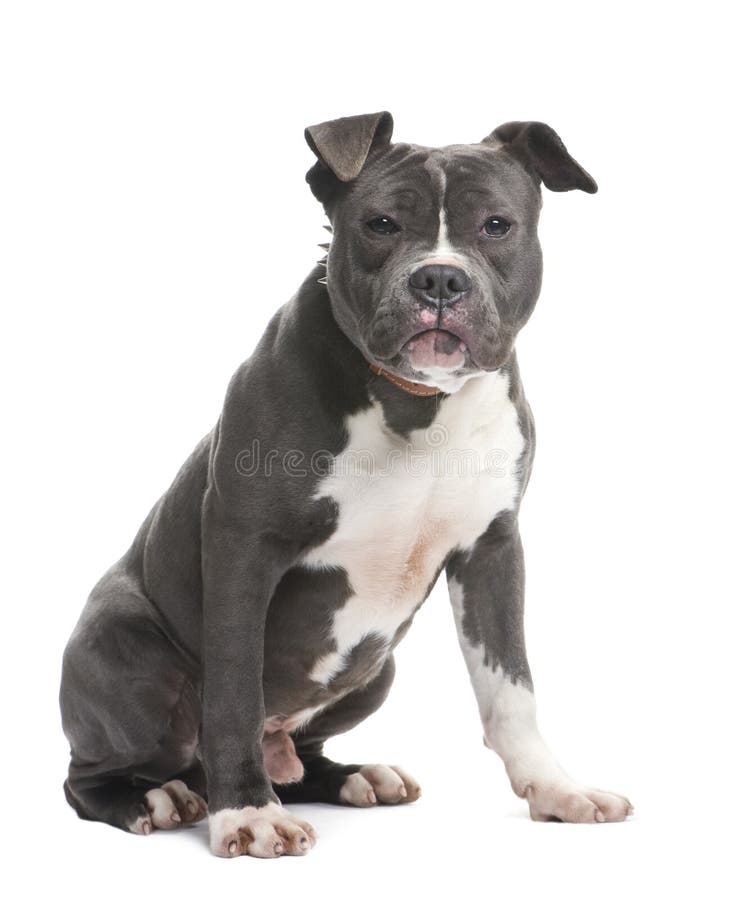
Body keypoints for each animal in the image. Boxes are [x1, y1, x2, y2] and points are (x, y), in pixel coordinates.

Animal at [58, 109, 628, 856]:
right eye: (381, 223)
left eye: (496, 226)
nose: (439, 280)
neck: (418, 402)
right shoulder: (243, 546)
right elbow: (232, 692)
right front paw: (247, 813)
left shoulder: (492, 549)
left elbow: (511, 689)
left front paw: (555, 789)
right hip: (127, 650)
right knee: (91, 774)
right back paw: (157, 797)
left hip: (377, 670)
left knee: (302, 756)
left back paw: (355, 776)